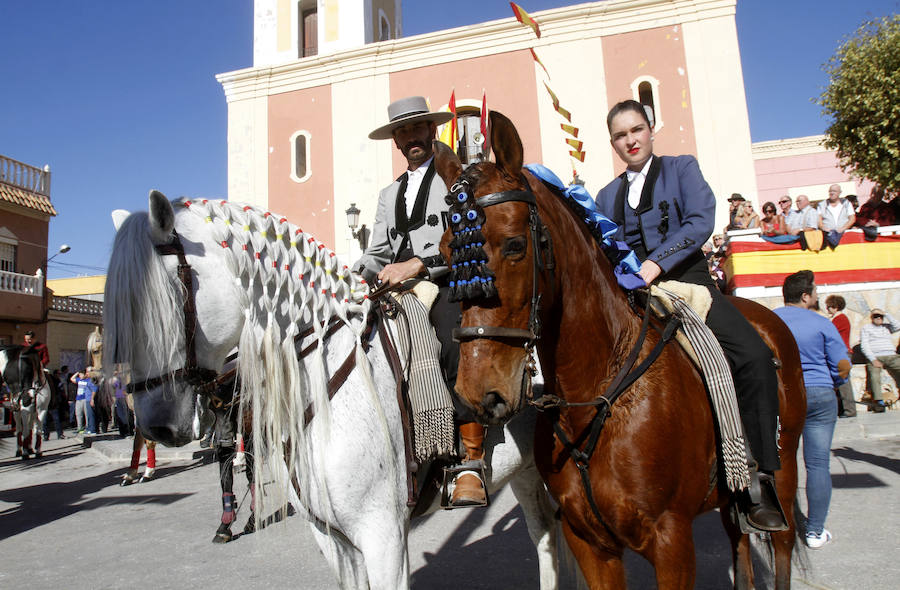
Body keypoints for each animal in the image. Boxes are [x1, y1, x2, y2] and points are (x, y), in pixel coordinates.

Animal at [432, 112, 804, 590]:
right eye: (446, 254)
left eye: (515, 244)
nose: (478, 394)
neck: (598, 391)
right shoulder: (589, 541)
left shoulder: (672, 542)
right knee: (739, 543)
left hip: (785, 469)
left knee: (782, 541)